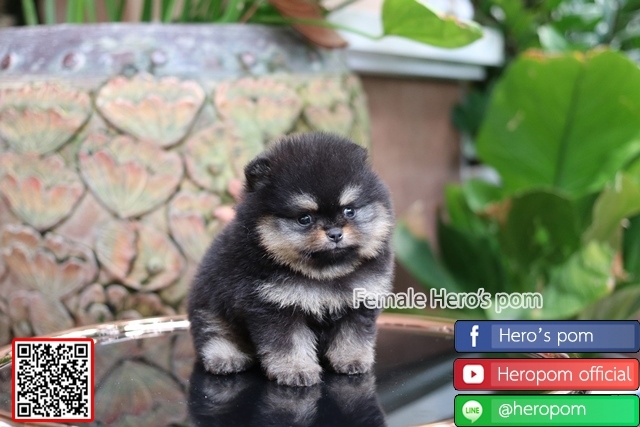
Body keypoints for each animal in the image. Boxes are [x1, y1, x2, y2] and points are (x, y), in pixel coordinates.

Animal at [188, 132, 395, 386]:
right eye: (304, 218)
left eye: (349, 211)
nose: (335, 233)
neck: (324, 274)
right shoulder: (277, 306)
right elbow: (289, 343)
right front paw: (296, 369)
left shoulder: (360, 300)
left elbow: (354, 335)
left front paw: (352, 360)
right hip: (208, 307)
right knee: (213, 333)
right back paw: (226, 357)